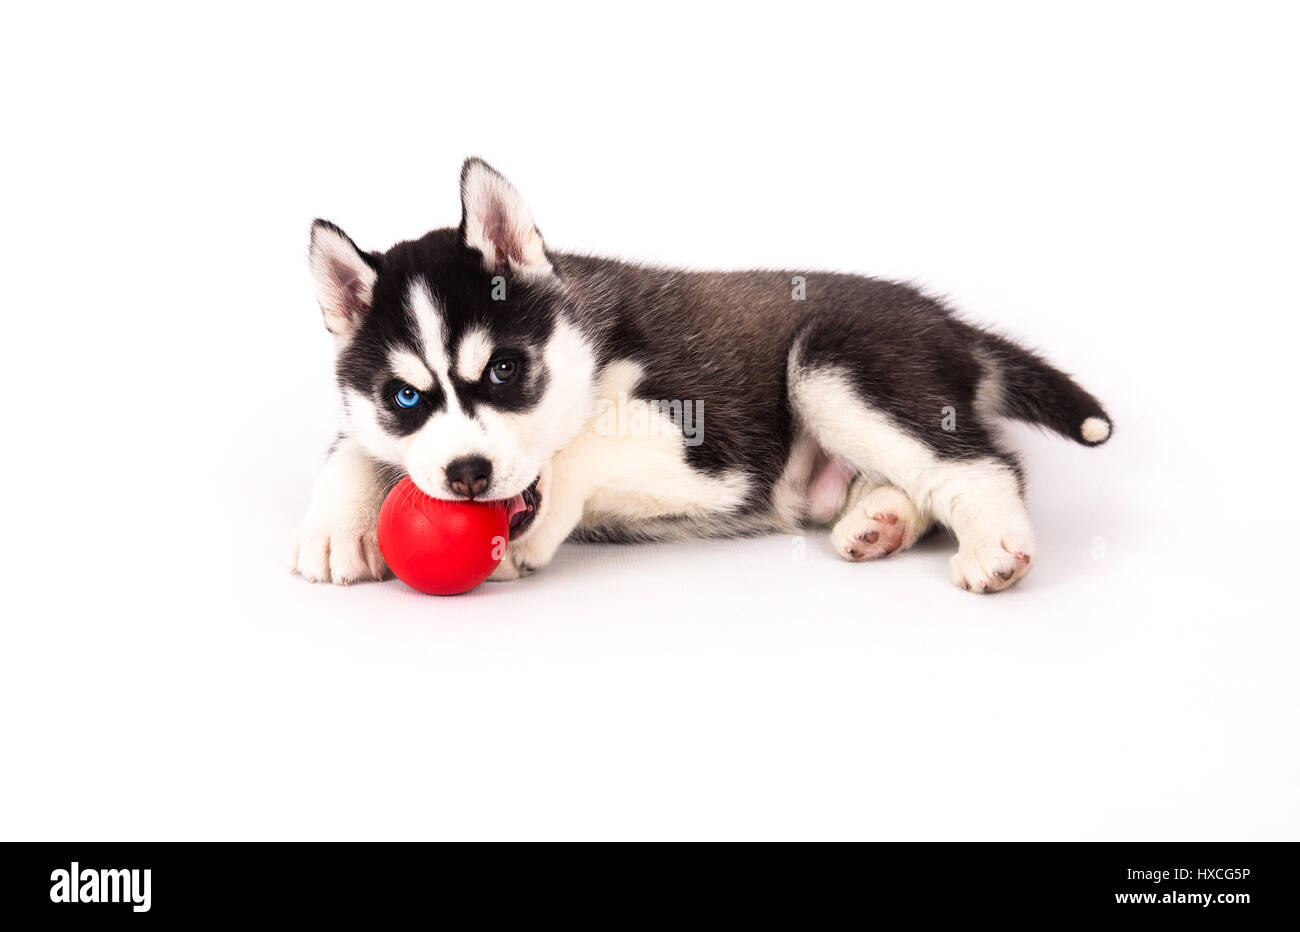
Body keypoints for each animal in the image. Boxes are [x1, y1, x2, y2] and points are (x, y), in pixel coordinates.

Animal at [292, 157, 1107, 592]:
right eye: (405, 396)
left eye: (503, 370)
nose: (465, 475)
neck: (589, 344)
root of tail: (949, 322)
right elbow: (355, 442)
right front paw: (336, 524)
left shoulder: (714, 446)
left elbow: (583, 448)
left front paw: (534, 527)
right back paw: (882, 520)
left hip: (830, 363)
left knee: (982, 463)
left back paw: (991, 544)